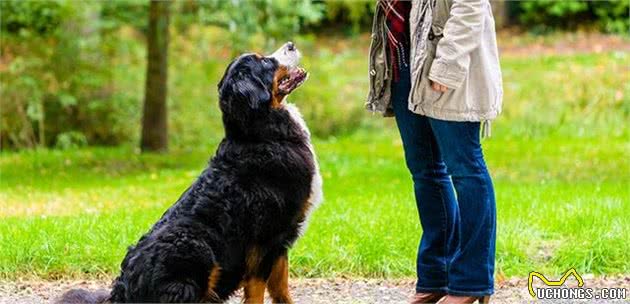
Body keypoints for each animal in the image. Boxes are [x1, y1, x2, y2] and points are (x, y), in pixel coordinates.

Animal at [56, 41, 324, 302]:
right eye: (266, 61)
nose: (291, 44)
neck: (261, 135)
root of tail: (122, 292)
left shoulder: (281, 239)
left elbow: (281, 288)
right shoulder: (265, 238)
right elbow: (258, 289)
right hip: (196, 247)